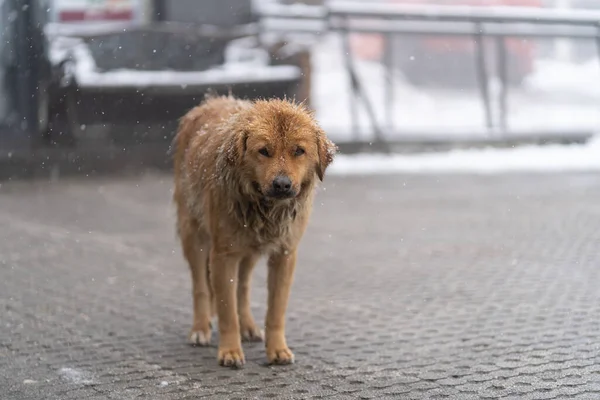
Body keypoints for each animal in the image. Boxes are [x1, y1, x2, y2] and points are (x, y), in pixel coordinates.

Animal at [172, 95, 338, 368]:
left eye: (298, 151)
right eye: (264, 151)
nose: (282, 185)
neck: (264, 208)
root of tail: (212, 100)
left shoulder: (285, 255)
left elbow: (275, 310)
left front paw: (277, 349)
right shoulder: (223, 255)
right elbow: (226, 311)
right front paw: (229, 351)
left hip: (249, 251)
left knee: (243, 287)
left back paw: (248, 326)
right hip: (193, 235)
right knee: (201, 286)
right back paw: (200, 328)